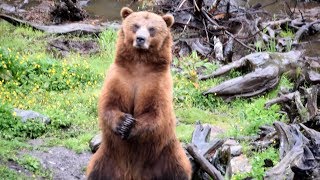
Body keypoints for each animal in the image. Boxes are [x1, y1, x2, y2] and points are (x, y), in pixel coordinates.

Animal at [86, 6, 191, 179]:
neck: (139, 64)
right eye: (135, 25)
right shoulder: (120, 77)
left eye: (152, 28)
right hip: (108, 157)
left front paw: (130, 126)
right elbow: (108, 104)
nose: (140, 39)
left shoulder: (157, 83)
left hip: (166, 153)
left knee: (179, 169)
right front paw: (124, 122)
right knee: (96, 171)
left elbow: (156, 114)